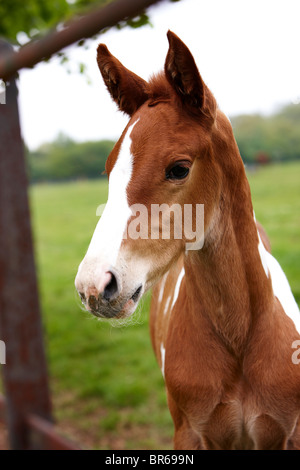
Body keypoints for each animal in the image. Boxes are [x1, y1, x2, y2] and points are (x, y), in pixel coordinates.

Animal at [75, 31, 300, 450]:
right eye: (109, 169)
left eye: (179, 168)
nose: (94, 286)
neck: (239, 337)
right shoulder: (191, 433)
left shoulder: (287, 432)